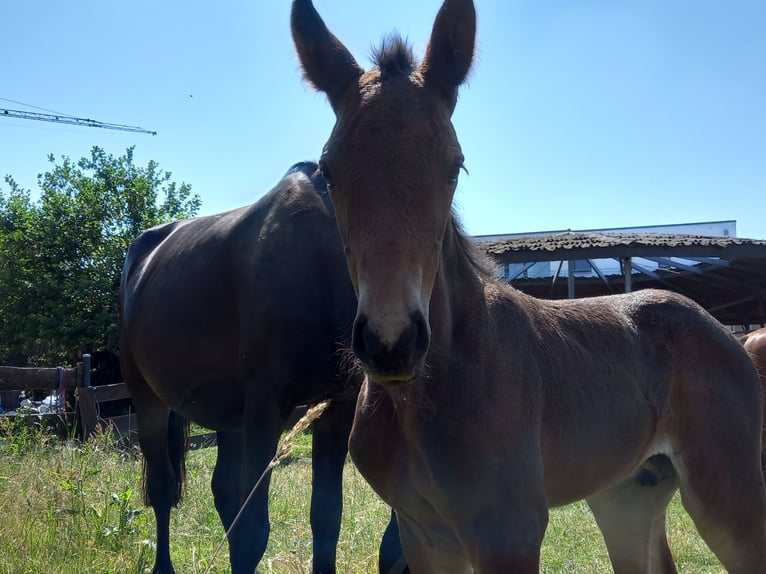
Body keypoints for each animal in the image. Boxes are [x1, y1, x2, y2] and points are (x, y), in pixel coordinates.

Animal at [119, 163, 402, 574]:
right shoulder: (266, 408)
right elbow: (252, 532)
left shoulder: (337, 407)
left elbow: (326, 516)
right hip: (149, 402)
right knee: (162, 488)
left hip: (229, 418)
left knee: (223, 491)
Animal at [292, 2, 766, 572]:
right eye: (328, 171)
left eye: (455, 166)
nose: (391, 343)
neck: (426, 394)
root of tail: (721, 332)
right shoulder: (422, 534)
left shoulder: (508, 530)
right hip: (627, 494)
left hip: (728, 495)